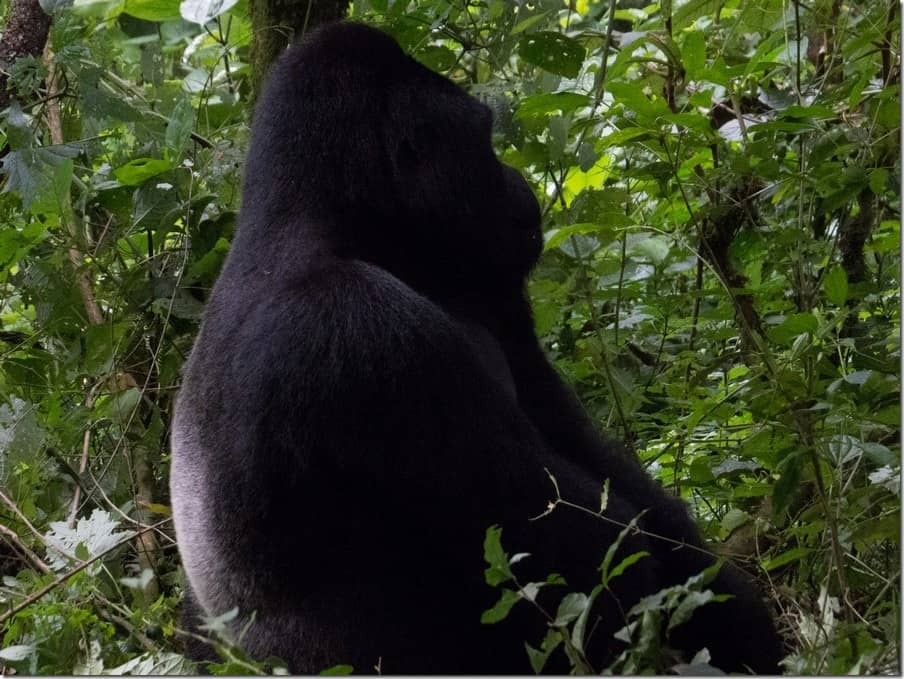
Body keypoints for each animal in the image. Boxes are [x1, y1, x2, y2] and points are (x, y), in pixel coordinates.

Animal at [171, 19, 784, 676]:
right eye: (485, 140)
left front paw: (741, 617)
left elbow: (612, 480)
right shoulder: (357, 327)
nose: (520, 183)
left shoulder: (491, 285)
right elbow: (584, 544)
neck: (329, 224)